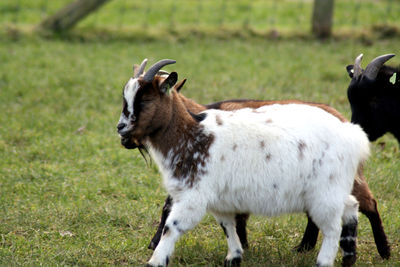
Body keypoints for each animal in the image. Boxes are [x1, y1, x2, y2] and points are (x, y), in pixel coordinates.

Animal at [117, 59, 370, 266]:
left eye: (145, 99)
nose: (121, 127)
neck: (192, 135)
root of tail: (353, 135)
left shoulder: (193, 197)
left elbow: (172, 227)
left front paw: (155, 260)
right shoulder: (219, 200)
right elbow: (228, 227)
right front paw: (235, 256)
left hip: (325, 193)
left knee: (333, 228)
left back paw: (325, 261)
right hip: (330, 190)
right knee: (351, 205)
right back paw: (349, 257)